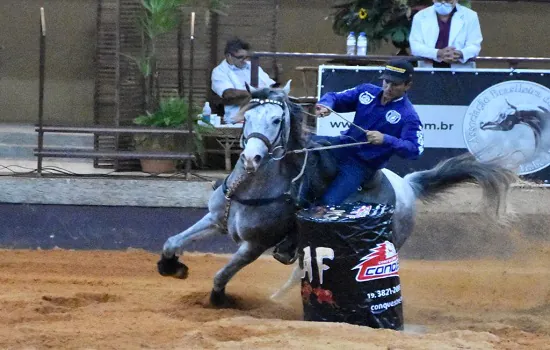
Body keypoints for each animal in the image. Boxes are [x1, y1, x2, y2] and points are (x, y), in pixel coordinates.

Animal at [157, 81, 520, 306]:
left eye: (276, 119)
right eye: (248, 117)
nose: (251, 158)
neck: (254, 187)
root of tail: (408, 185)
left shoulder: (255, 245)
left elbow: (223, 272)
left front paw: (218, 298)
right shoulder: (214, 219)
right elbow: (172, 241)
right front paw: (171, 266)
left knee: (304, 270)